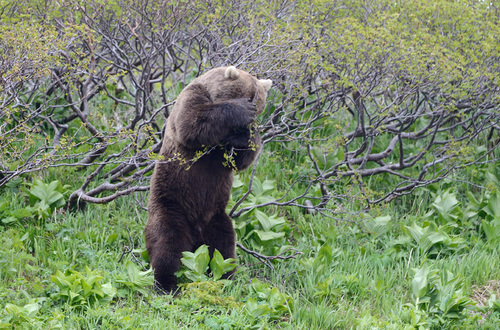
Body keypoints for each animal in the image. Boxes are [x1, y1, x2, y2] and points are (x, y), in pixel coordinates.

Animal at [145, 65, 274, 292]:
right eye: (249, 98)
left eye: (259, 103)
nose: (252, 112)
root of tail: (196, 236)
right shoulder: (192, 97)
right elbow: (192, 122)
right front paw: (239, 112)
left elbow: (242, 159)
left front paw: (245, 136)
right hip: (171, 208)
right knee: (166, 244)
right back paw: (166, 283)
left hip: (216, 217)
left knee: (223, 249)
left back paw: (226, 277)